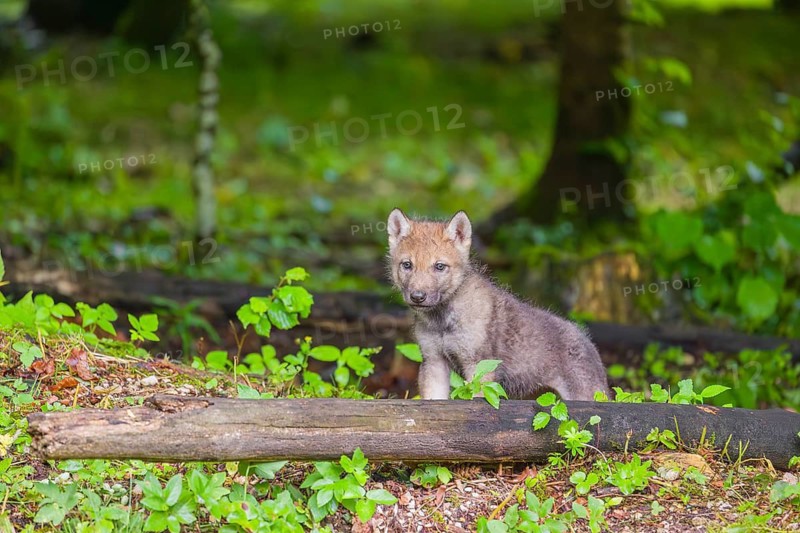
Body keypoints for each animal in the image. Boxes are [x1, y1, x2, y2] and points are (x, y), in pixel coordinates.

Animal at [387, 208, 609, 401]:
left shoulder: (478, 366)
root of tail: (588, 341)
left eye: (439, 266)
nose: (417, 296)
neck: (442, 321)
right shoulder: (434, 361)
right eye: (407, 265)